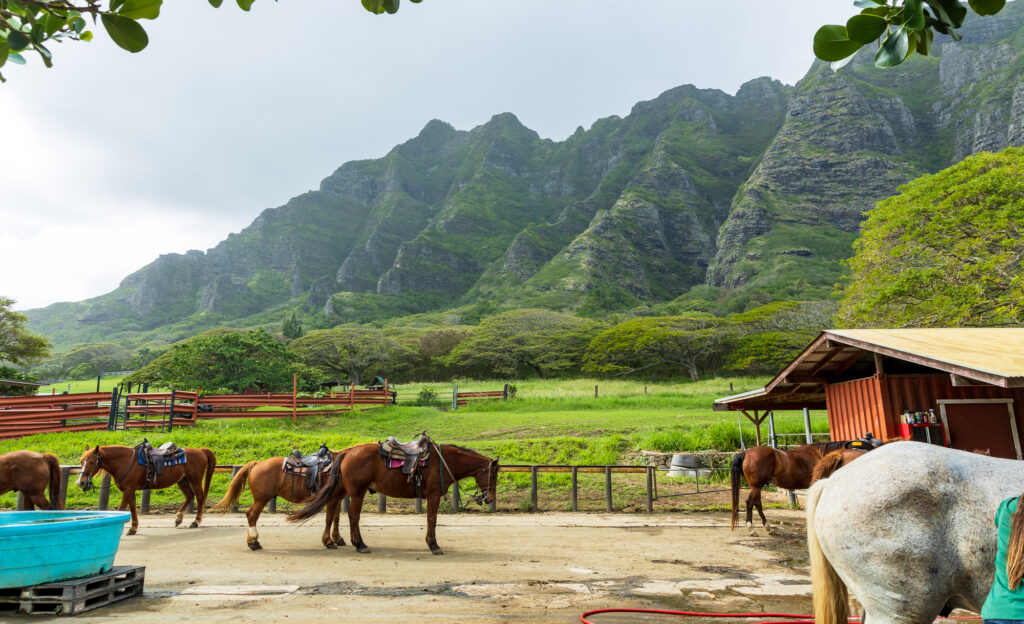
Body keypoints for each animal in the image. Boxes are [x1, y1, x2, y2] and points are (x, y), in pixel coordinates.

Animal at [75, 442, 214, 536]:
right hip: (182, 480)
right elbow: (132, 508)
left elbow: (122, 509)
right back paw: (178, 519)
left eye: (91, 462)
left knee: (199, 497)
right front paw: (133, 529)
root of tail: (200, 451)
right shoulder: (130, 490)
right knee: (190, 495)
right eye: (81, 461)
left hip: (195, 480)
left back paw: (195, 522)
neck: (124, 461)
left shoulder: (128, 490)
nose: (80, 482)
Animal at [211, 452, 348, 549]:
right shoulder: (332, 498)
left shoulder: (337, 499)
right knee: (252, 515)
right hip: (261, 499)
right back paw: (253, 542)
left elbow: (336, 518)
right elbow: (329, 519)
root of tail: (257, 463)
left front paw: (338, 539)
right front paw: (329, 542)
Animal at [290, 440, 497, 553]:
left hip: (343, 490)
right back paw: (360, 544)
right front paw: (434, 545)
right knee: (353, 516)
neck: (443, 461)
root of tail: (347, 453)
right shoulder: (434, 495)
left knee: (333, 511)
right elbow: (432, 519)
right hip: (357, 491)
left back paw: (332, 541)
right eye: (493, 474)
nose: (489, 498)